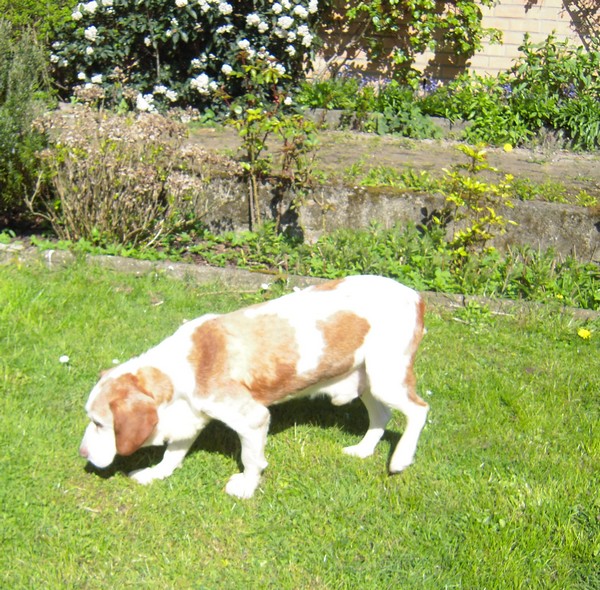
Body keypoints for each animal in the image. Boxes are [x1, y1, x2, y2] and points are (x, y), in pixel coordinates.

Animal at [79, 276, 428, 500]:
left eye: (99, 423)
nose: (81, 452)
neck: (185, 364)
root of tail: (416, 295)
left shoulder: (252, 419)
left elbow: (250, 459)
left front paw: (246, 488)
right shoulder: (190, 417)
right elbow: (172, 455)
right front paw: (155, 474)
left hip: (386, 378)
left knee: (419, 410)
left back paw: (400, 458)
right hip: (366, 379)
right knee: (381, 416)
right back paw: (363, 450)